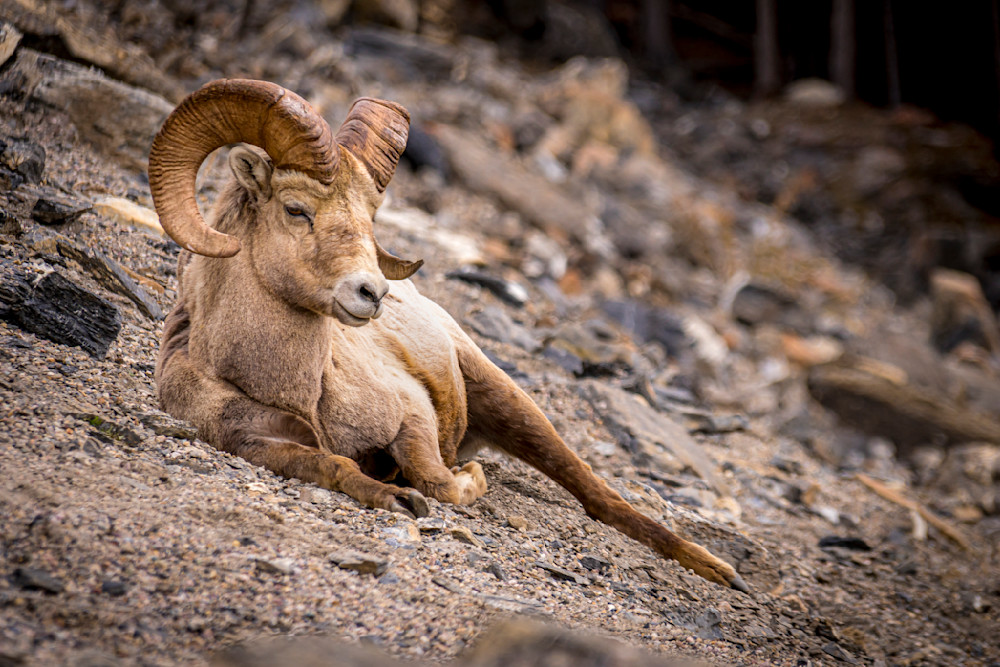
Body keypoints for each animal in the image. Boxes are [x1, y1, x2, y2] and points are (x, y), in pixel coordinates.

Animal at [148, 79, 747, 592]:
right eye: (297, 210)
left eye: (369, 221)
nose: (371, 293)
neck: (301, 391)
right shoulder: (252, 442)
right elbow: (332, 465)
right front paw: (395, 498)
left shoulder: (411, 415)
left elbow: (436, 477)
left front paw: (466, 478)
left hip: (505, 395)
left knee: (594, 491)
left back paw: (722, 573)